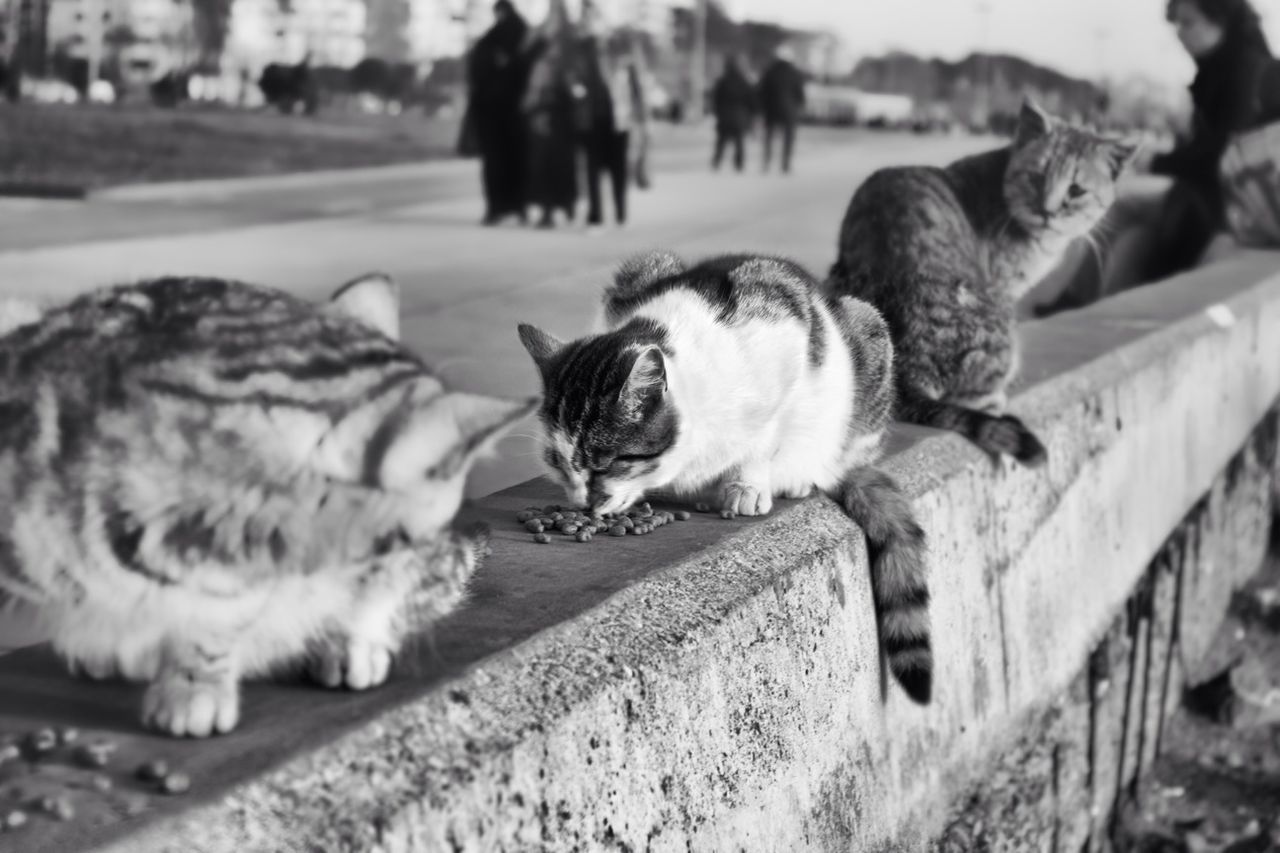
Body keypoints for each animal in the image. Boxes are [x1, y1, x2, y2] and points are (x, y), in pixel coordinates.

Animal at [517, 249, 931, 701]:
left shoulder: (786, 338)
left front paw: (746, 486)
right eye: (558, 462)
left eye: (609, 461)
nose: (583, 505)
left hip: (868, 341)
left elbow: (763, 439)